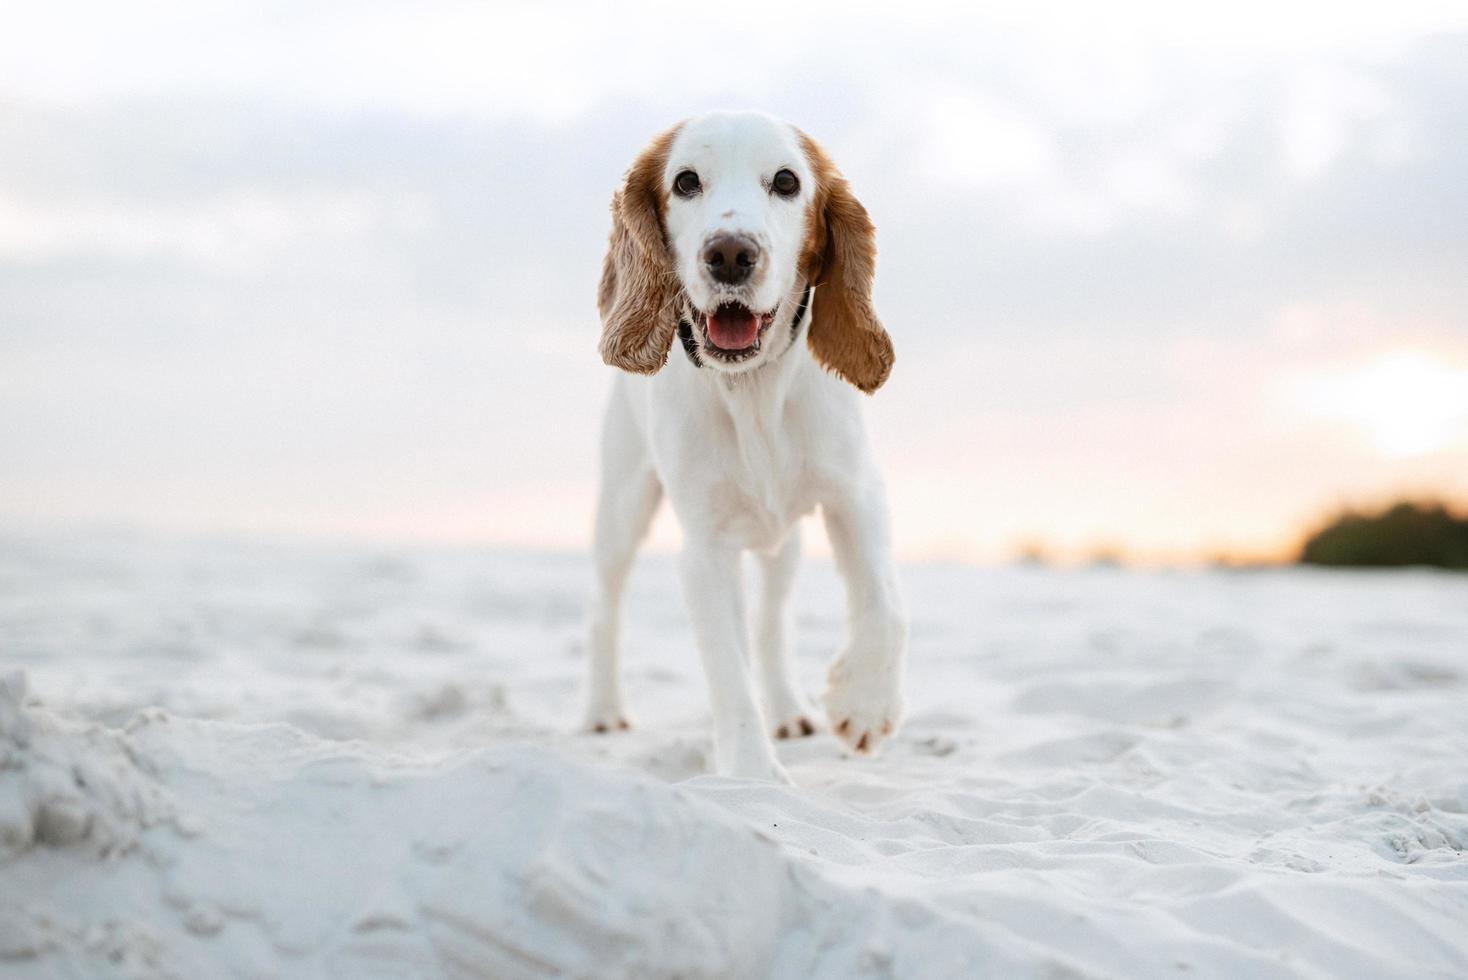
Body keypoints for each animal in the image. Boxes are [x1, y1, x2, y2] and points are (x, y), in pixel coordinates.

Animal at [584, 110, 904, 780]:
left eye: (786, 181)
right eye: (685, 182)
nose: (730, 254)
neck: (753, 391)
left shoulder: (857, 494)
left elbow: (885, 603)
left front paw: (865, 706)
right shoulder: (706, 548)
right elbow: (729, 675)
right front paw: (754, 776)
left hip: (784, 543)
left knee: (771, 620)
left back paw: (787, 707)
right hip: (622, 507)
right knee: (604, 605)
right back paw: (602, 710)